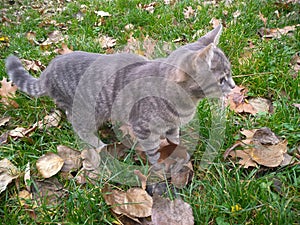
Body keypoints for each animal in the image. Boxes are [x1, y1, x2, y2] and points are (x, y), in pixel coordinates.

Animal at [4, 25, 234, 168]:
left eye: (230, 73)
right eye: (222, 79)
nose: (234, 86)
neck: (186, 102)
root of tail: (49, 68)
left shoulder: (172, 126)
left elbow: (174, 139)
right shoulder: (143, 128)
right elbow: (153, 151)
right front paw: (159, 167)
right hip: (86, 110)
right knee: (78, 125)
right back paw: (99, 145)